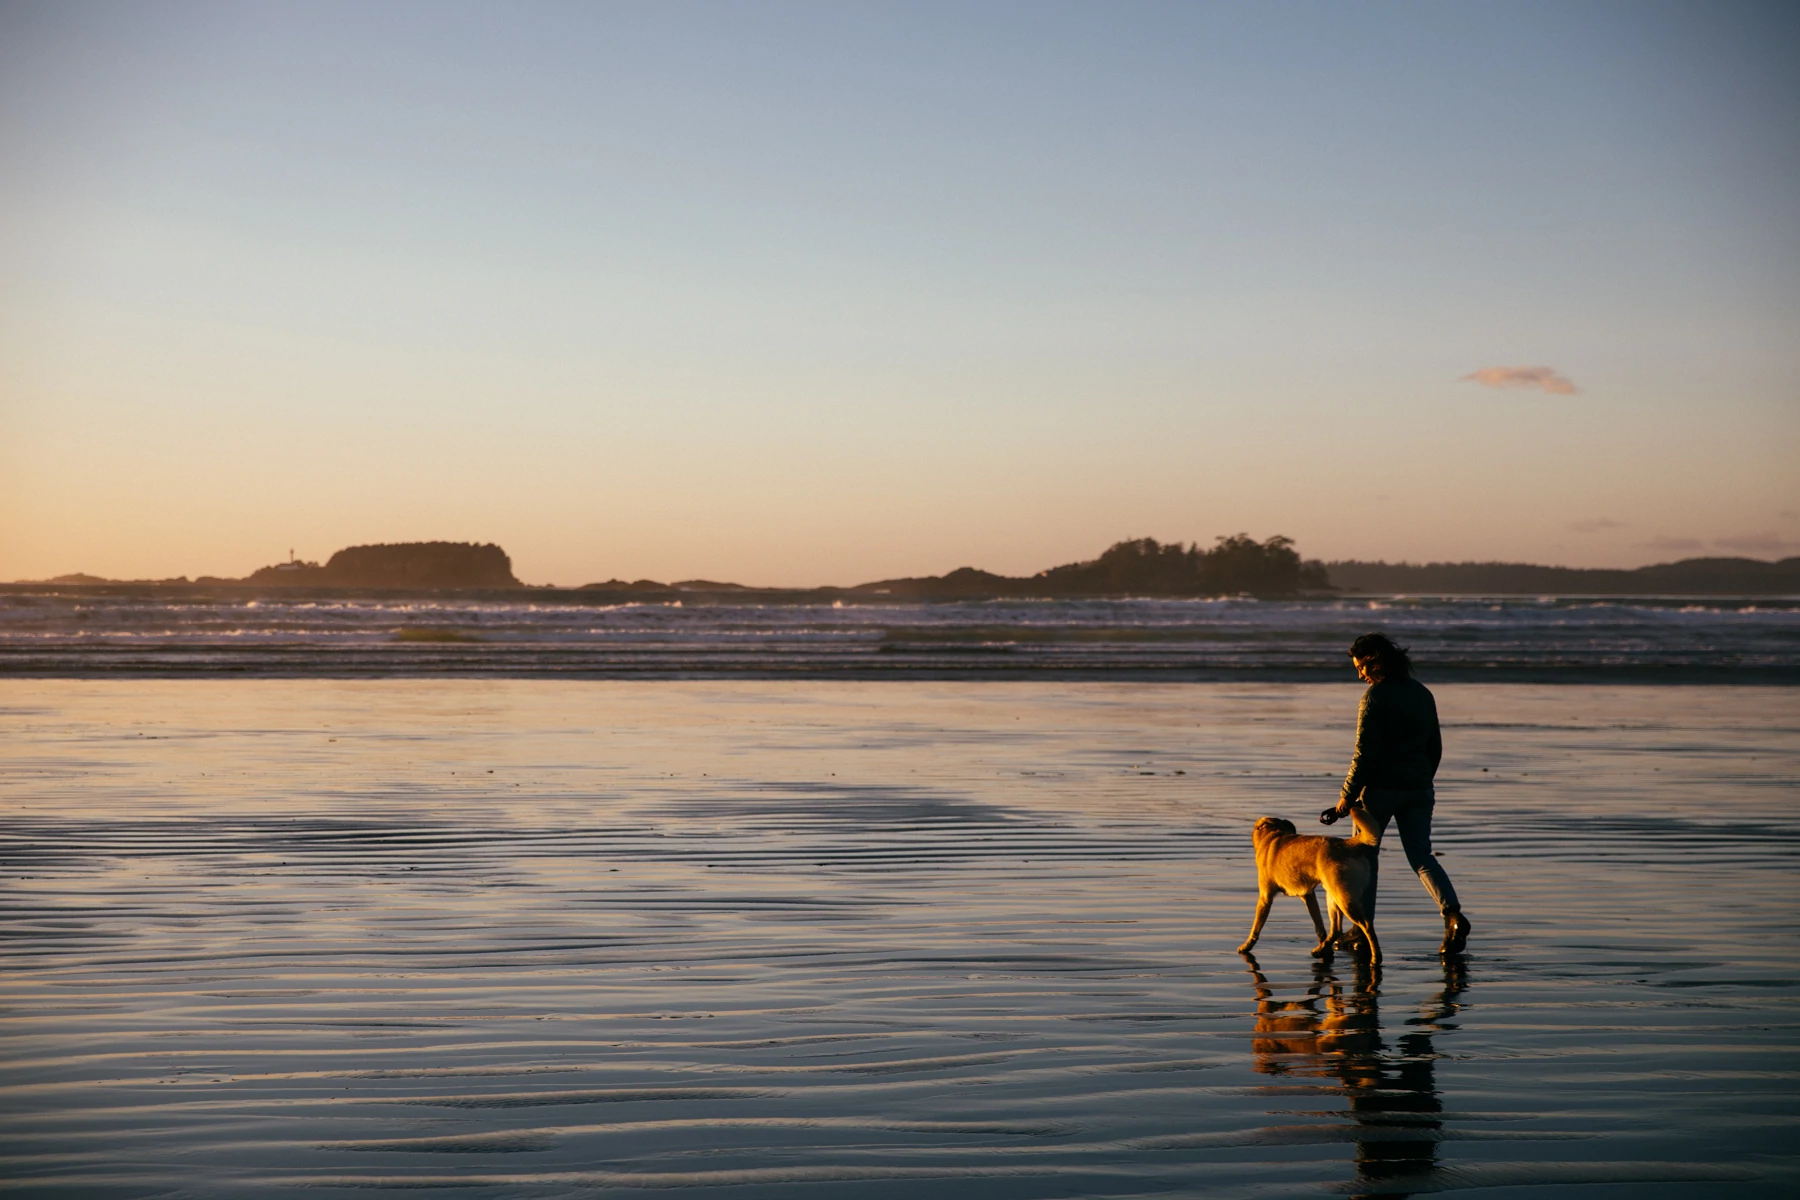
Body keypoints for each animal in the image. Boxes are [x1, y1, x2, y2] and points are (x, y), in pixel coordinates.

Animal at [1238, 816, 1375, 964]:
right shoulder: (1309, 896)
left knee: (1367, 926)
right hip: (1333, 896)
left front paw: (1246, 946)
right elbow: (1319, 927)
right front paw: (1326, 949)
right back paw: (1321, 949)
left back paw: (1375, 958)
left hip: (1343, 898)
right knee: (1336, 928)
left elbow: (1256, 928)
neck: (1273, 835)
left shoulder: (1265, 898)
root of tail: (1347, 843)